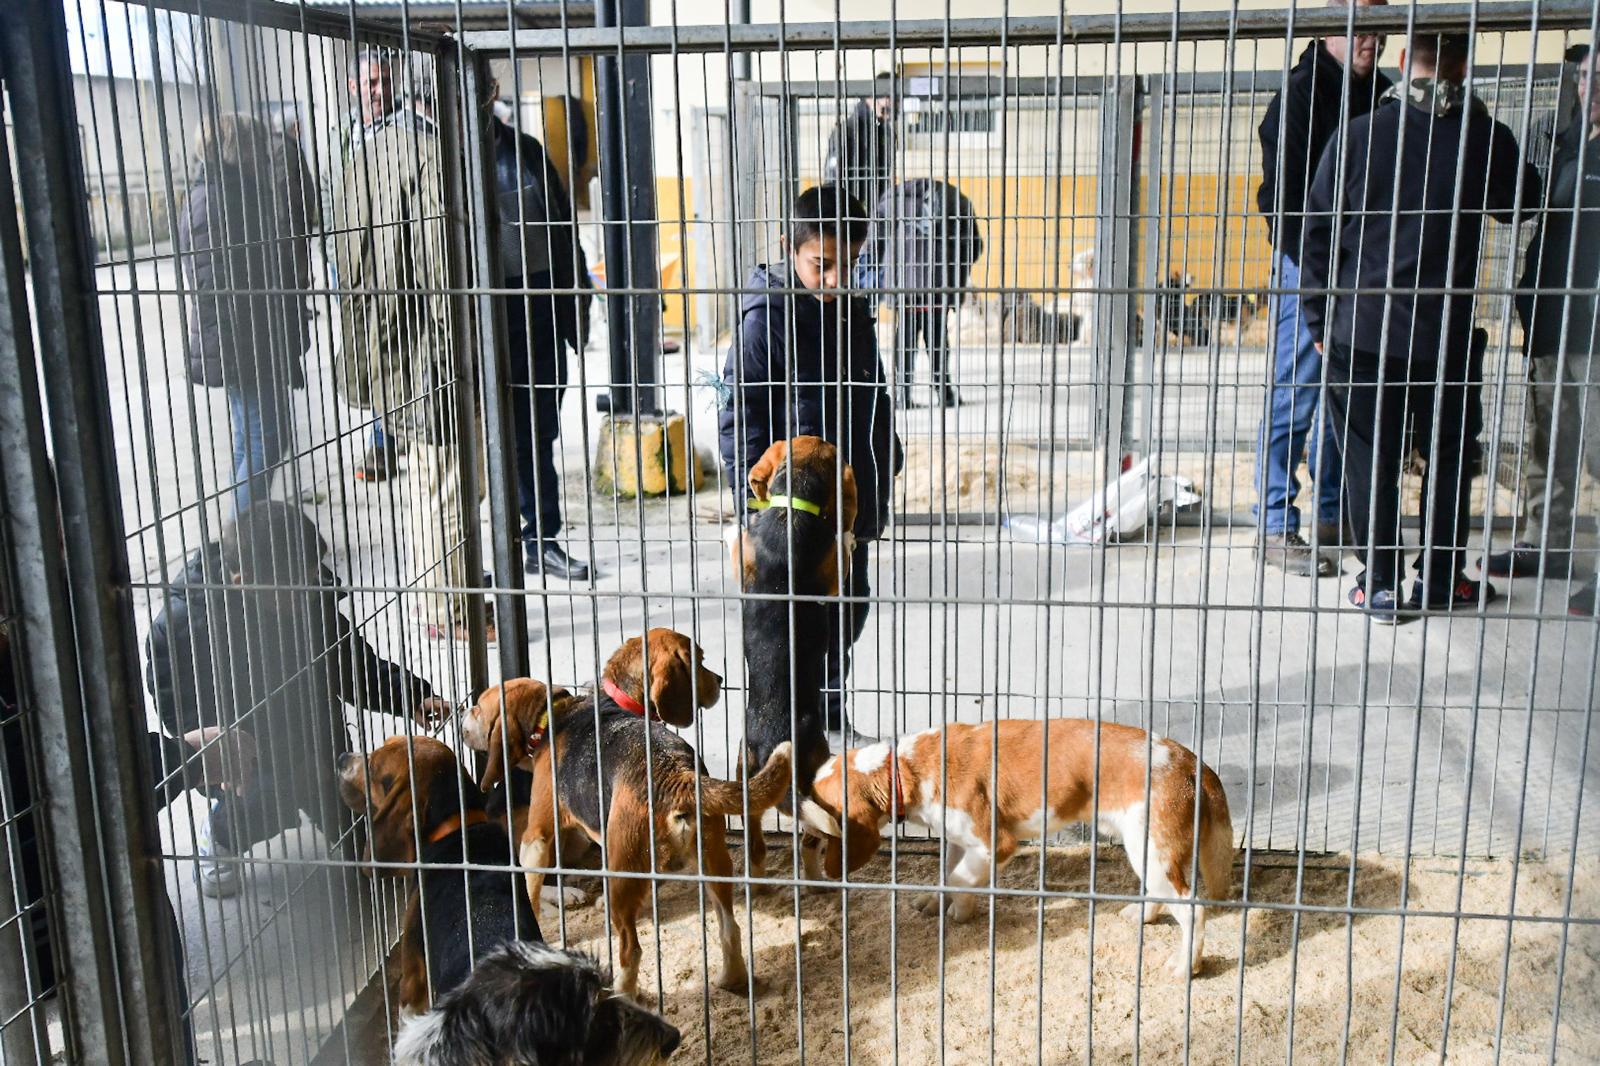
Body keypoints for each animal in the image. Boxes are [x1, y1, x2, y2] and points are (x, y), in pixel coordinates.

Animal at [806, 717, 1228, 973]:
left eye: (821, 819)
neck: (905, 768)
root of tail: (1191, 761)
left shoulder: (995, 844)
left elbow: (958, 882)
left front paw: (962, 911)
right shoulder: (957, 841)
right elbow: (947, 875)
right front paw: (936, 902)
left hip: (1153, 851)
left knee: (1194, 910)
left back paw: (1186, 966)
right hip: (1147, 853)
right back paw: (1143, 916)